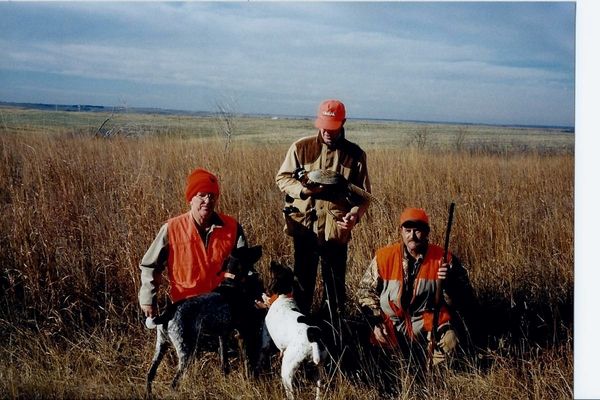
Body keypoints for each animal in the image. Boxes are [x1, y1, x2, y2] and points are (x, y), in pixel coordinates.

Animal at [145, 245, 262, 396]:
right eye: (248, 250)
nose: (260, 247)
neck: (231, 283)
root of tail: (168, 313)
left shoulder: (222, 335)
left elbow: (224, 362)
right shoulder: (240, 333)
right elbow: (246, 361)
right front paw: (250, 380)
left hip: (161, 345)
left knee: (150, 374)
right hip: (185, 351)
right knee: (174, 383)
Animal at [262, 260, 328, 400]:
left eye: (277, 269)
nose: (272, 261)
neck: (285, 297)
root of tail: (313, 339)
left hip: (287, 369)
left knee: (291, 393)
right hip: (319, 369)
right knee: (319, 388)